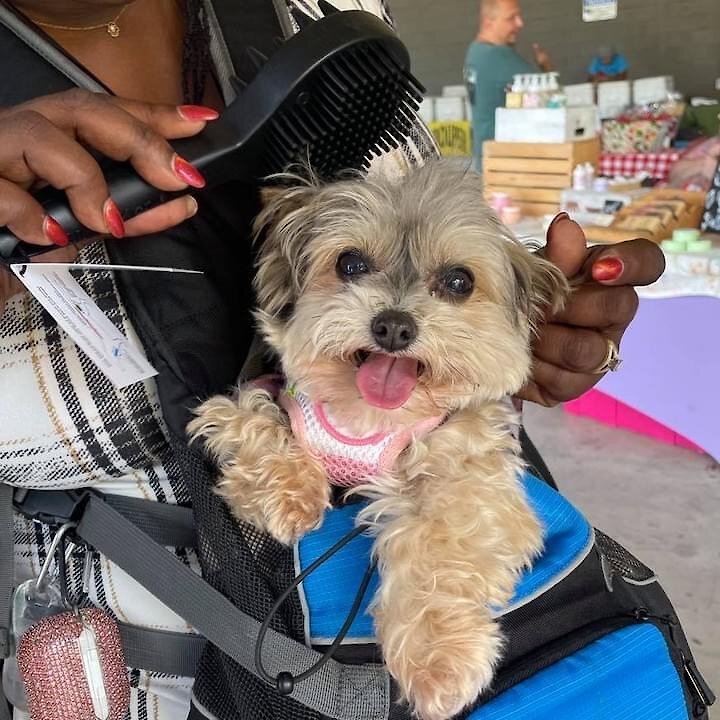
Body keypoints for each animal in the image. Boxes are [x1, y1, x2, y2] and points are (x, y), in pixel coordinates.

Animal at [190, 160, 568, 716]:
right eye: (350, 263)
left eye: (459, 281)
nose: (393, 326)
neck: (364, 418)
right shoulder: (257, 396)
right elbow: (253, 422)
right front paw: (291, 497)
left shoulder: (471, 467)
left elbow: (439, 535)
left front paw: (439, 658)